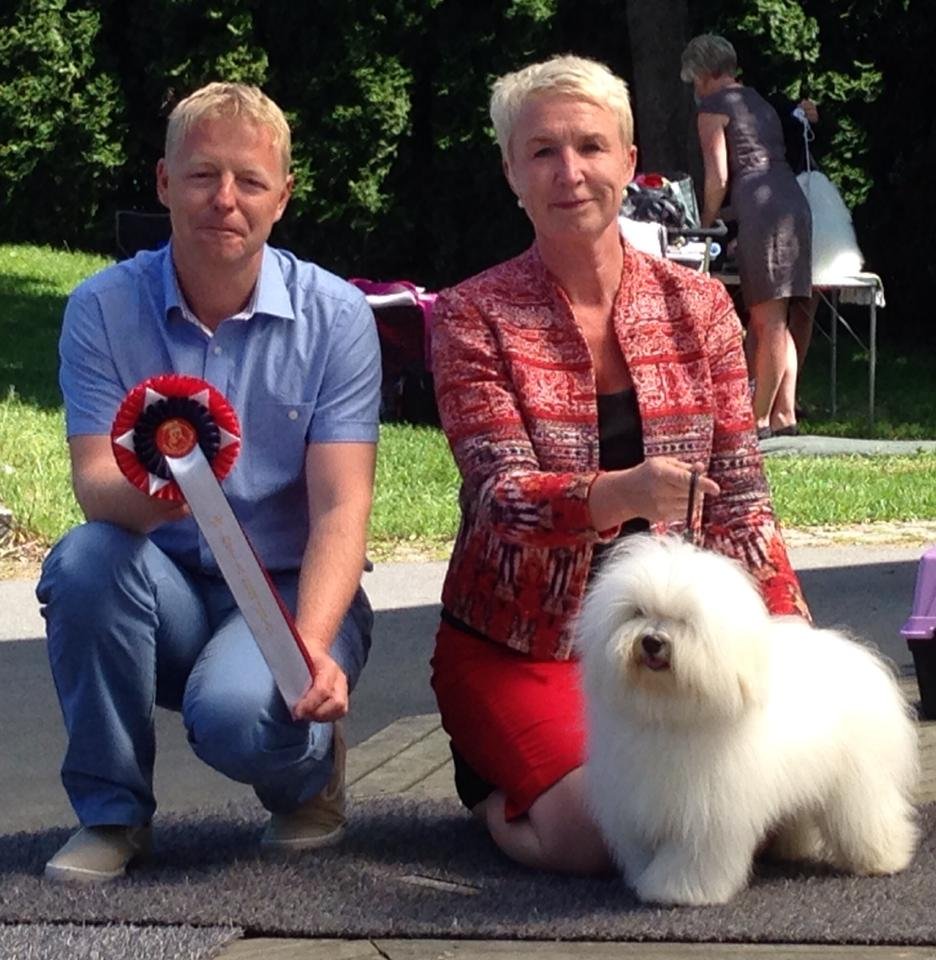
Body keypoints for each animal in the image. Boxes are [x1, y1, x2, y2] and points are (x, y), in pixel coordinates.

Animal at [576, 534, 919, 906]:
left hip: (859, 780)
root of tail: (857, 653)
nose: (652, 642)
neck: (670, 713)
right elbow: (642, 848)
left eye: (684, 620)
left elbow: (692, 856)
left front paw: (678, 889)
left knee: (869, 815)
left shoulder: (707, 811)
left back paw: (882, 858)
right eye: (637, 612)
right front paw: (645, 878)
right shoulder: (636, 800)